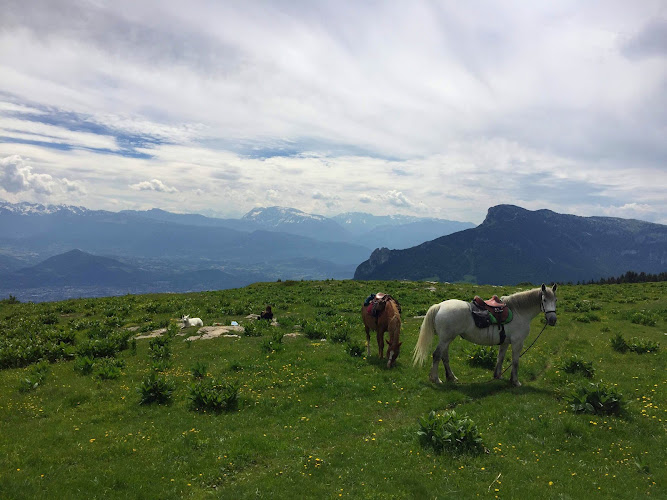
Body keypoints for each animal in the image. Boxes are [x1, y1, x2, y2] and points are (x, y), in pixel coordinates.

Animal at [413, 284, 558, 387]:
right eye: (544, 300)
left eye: (555, 300)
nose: (552, 320)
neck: (518, 311)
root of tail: (439, 306)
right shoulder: (517, 343)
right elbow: (515, 361)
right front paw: (515, 381)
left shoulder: (505, 342)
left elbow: (500, 358)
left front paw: (498, 376)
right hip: (445, 339)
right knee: (437, 355)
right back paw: (436, 379)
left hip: (447, 339)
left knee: (444, 357)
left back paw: (451, 377)